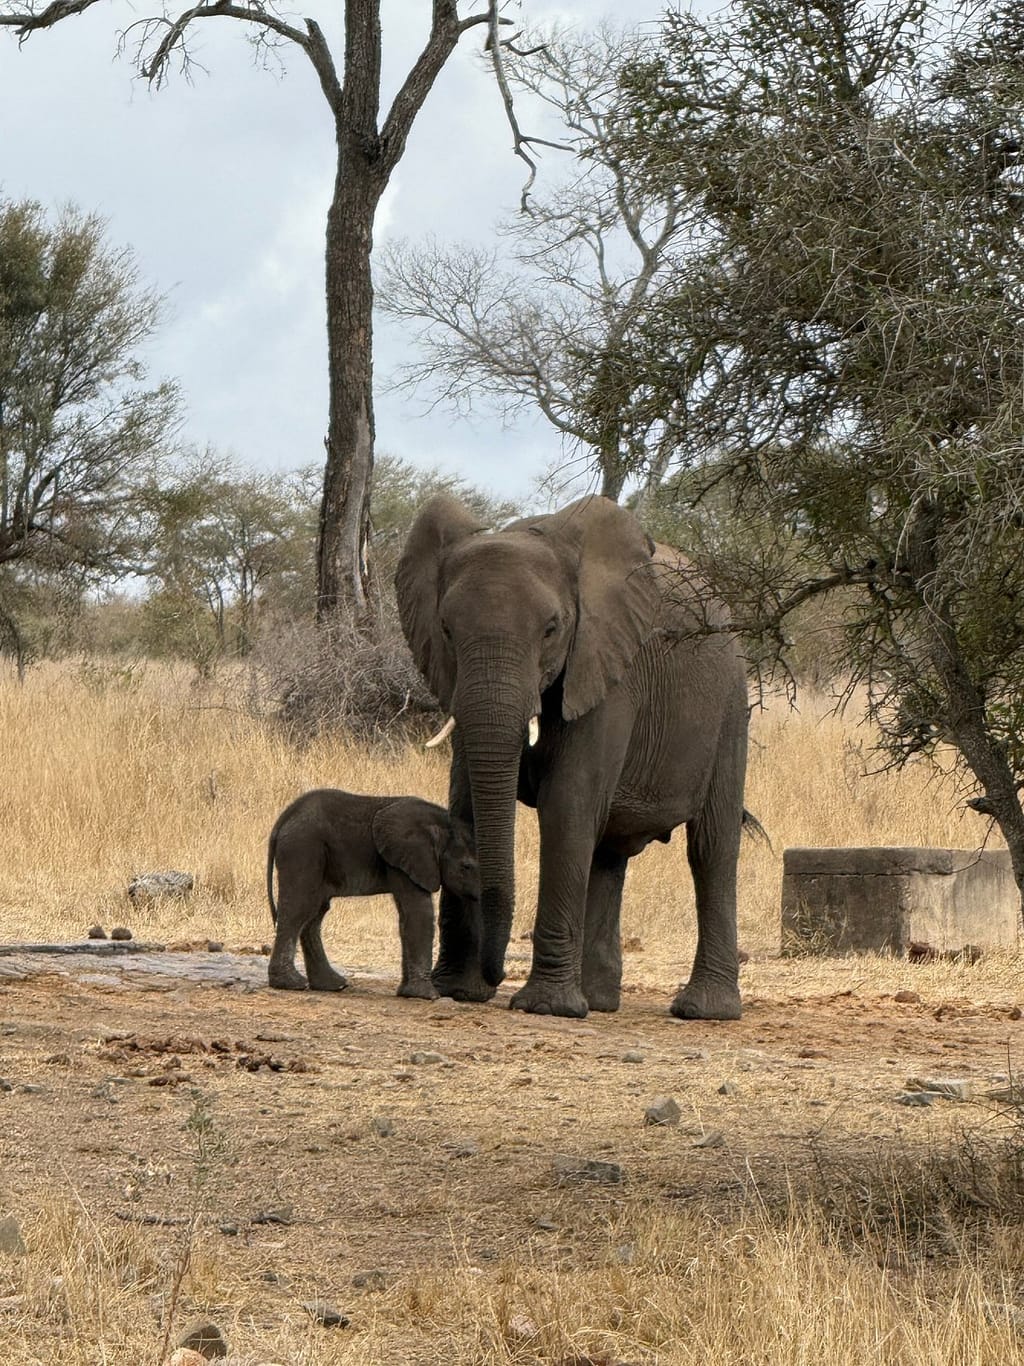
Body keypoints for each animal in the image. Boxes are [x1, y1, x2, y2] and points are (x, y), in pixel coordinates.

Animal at [266, 789, 479, 999]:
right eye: (466, 867)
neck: (441, 823)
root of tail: (284, 817)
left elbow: (406, 917)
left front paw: (405, 993)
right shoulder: (407, 858)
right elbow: (419, 912)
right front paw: (428, 996)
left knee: (315, 913)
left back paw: (333, 985)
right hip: (303, 849)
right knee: (299, 907)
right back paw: (292, 984)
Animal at [396, 494, 750, 1020]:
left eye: (551, 629)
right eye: (445, 629)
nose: (495, 973)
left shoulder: (607, 668)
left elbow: (568, 804)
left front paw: (545, 1007)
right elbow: (466, 804)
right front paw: (457, 990)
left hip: (730, 704)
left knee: (711, 846)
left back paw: (703, 1010)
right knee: (607, 852)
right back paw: (600, 1002)